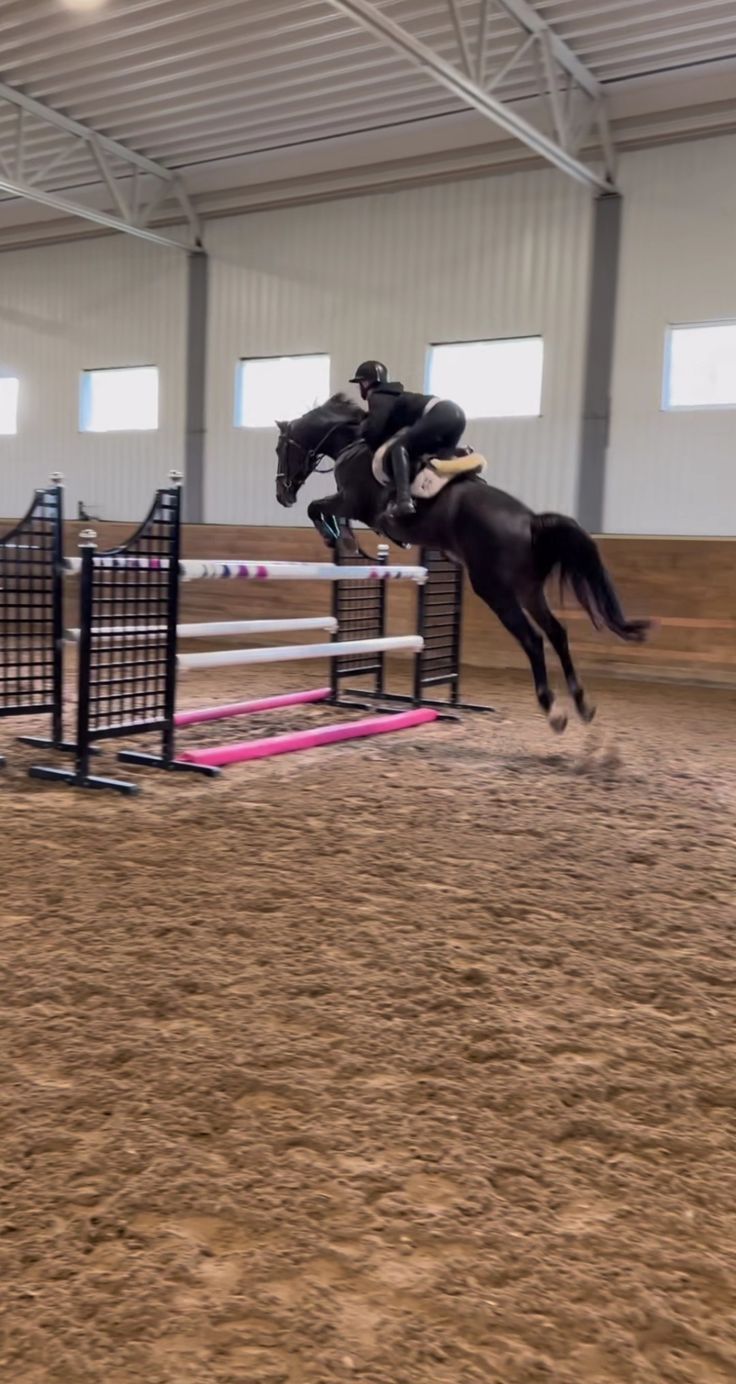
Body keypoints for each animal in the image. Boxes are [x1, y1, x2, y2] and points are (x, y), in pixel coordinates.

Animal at [276, 393, 650, 730]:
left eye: (281, 450)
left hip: (493, 589)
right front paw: (342, 537)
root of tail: (531, 522)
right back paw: (582, 703)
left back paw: (553, 710)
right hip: (528, 589)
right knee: (557, 632)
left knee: (532, 638)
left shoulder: (353, 502)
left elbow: (317, 507)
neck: (352, 443)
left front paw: (339, 538)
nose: (283, 495)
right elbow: (322, 509)